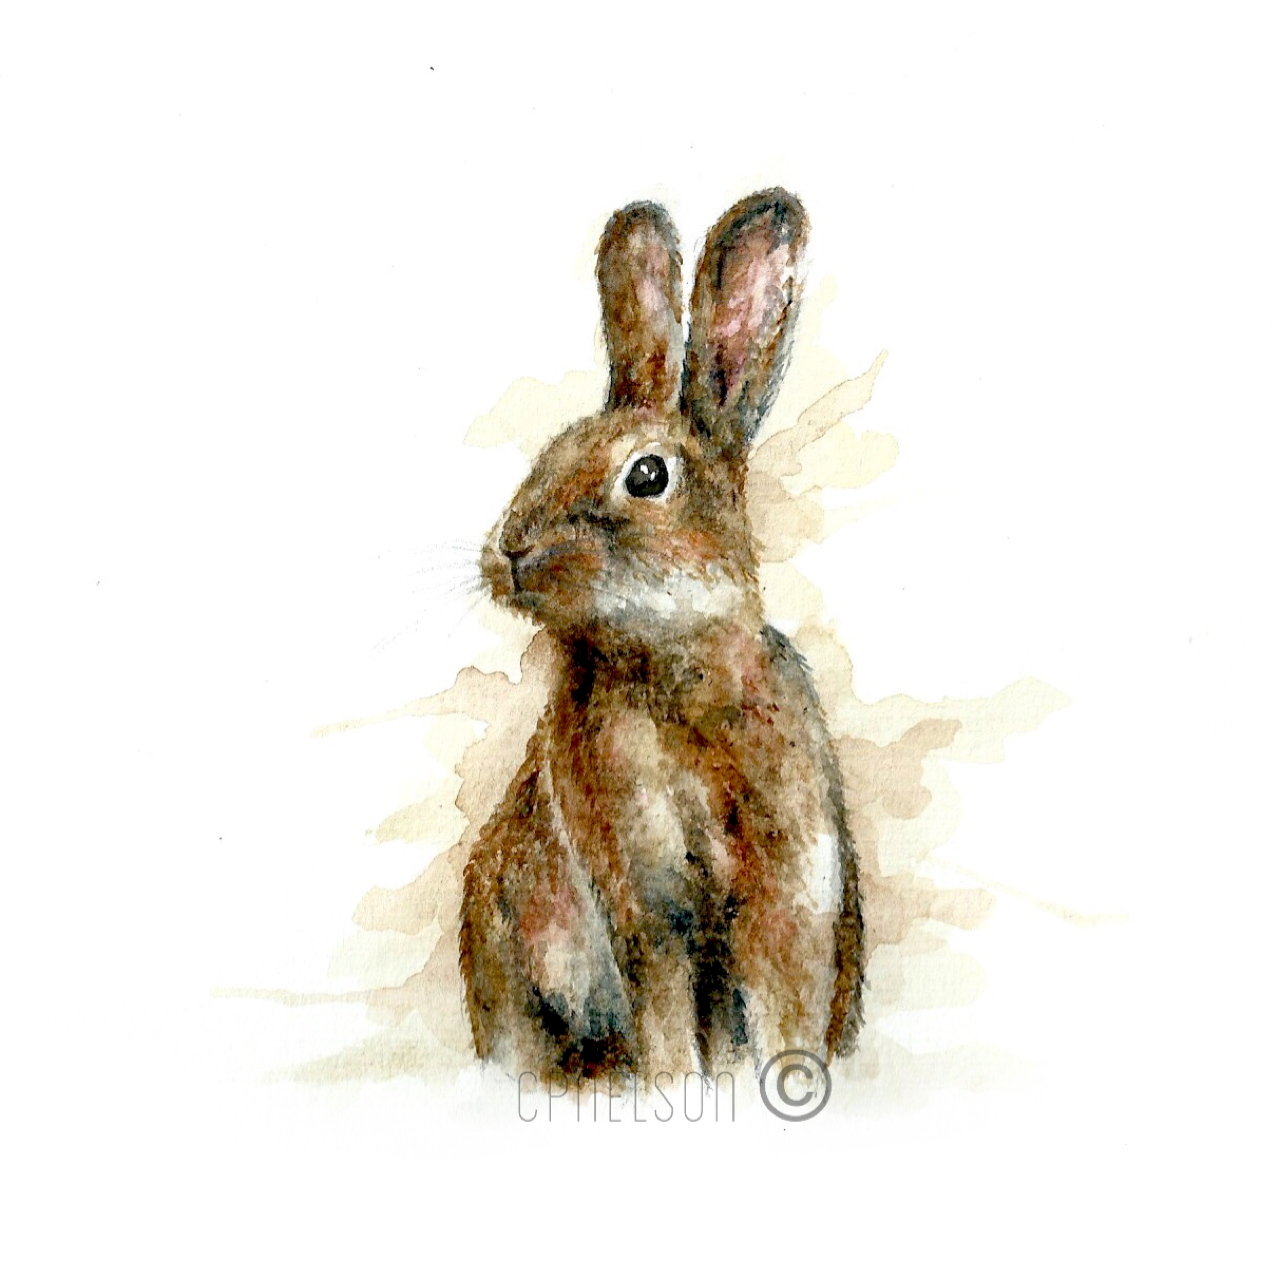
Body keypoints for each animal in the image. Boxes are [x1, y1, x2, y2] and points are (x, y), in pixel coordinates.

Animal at [460, 189, 863, 1082]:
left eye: (647, 475)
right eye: (550, 450)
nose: (511, 549)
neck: (665, 664)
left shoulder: (788, 891)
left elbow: (781, 1009)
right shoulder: (643, 905)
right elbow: (670, 1016)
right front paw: (674, 1086)